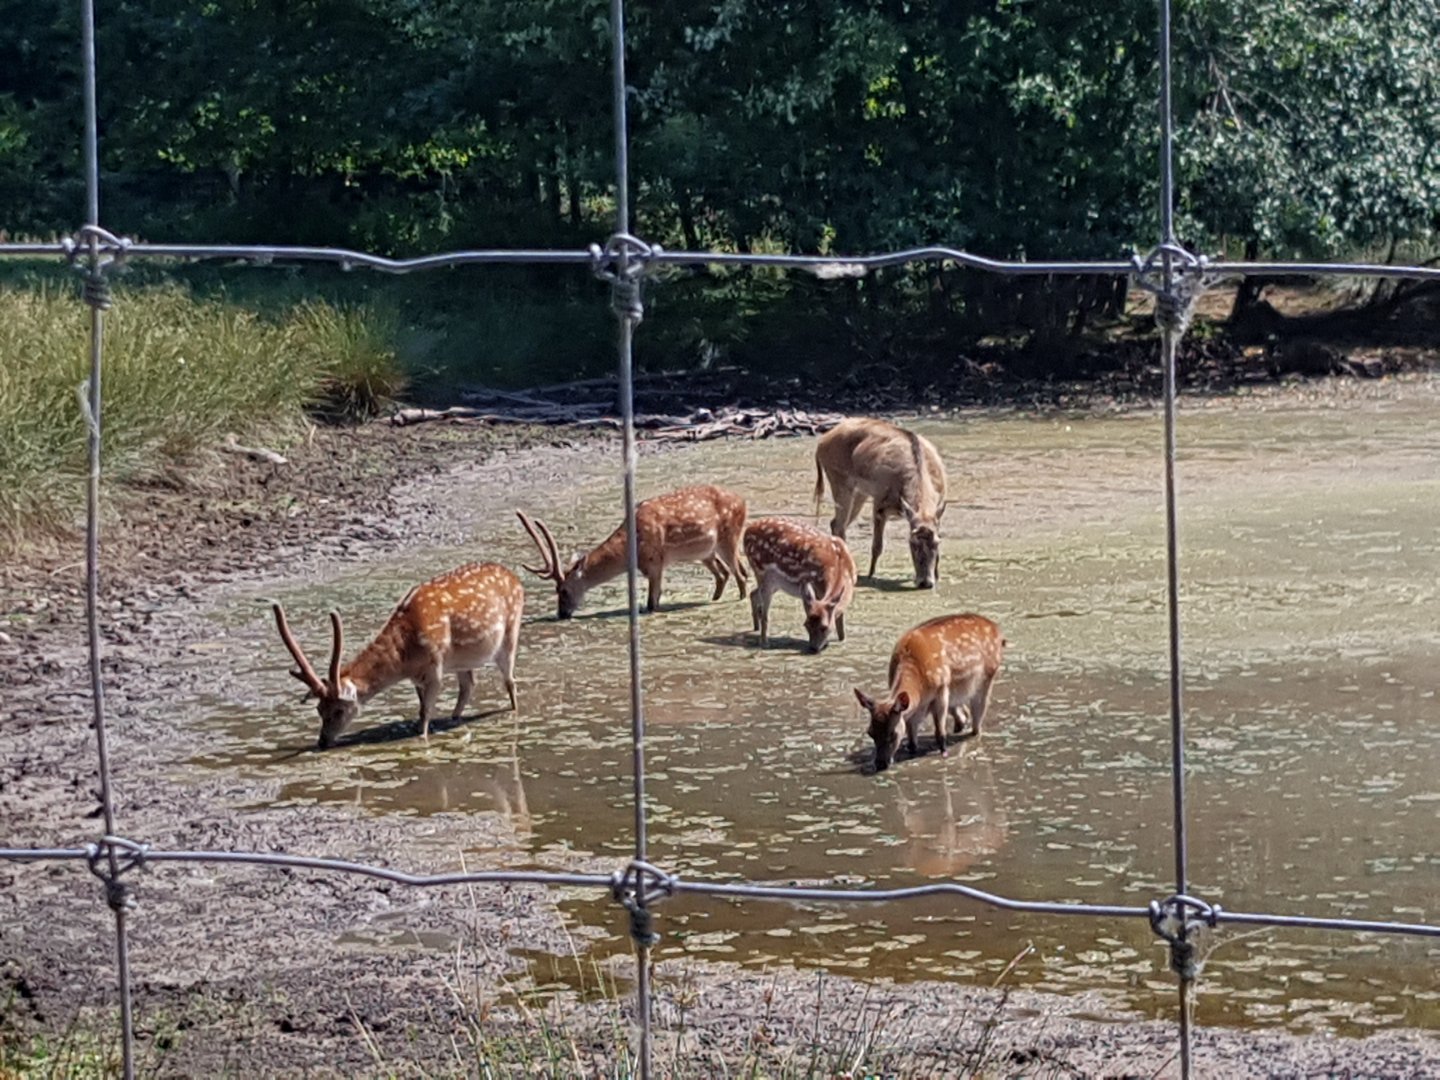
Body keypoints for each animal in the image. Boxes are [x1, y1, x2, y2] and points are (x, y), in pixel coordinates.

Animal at [271, 561, 524, 750]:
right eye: (318, 709)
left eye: (338, 710)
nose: (323, 741)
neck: (406, 658)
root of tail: (516, 578)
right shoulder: (418, 678)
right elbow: (422, 708)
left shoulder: (435, 667)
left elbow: (425, 711)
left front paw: (422, 739)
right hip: (464, 661)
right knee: (469, 685)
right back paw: (454, 719)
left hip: (510, 632)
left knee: (510, 681)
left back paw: (514, 713)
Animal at [516, 484, 748, 619]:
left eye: (563, 590)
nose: (562, 614)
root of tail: (743, 501)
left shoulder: (655, 562)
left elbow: (652, 604)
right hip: (705, 552)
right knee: (724, 573)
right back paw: (714, 599)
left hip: (729, 538)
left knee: (741, 573)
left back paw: (740, 599)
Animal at [742, 516, 857, 652]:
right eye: (806, 625)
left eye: (824, 627)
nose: (813, 648)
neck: (841, 567)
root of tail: (746, 531)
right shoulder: (815, 588)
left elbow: (840, 615)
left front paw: (842, 638)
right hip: (759, 570)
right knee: (764, 611)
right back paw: (764, 642)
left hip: (775, 583)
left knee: (753, 593)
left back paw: (756, 627)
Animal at [813, 417, 948, 588]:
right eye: (912, 543)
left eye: (936, 543)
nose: (925, 582)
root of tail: (821, 443)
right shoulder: (879, 503)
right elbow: (877, 545)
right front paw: (871, 575)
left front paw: (937, 576)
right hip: (839, 480)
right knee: (839, 526)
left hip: (860, 492)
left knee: (835, 523)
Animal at [853, 613, 1005, 772]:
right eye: (870, 732)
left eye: (892, 734)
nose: (880, 764)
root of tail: (998, 631)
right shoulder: (917, 706)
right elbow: (911, 734)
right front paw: (912, 750)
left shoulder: (942, 688)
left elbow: (939, 732)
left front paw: (944, 753)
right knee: (964, 714)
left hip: (987, 676)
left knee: (978, 720)